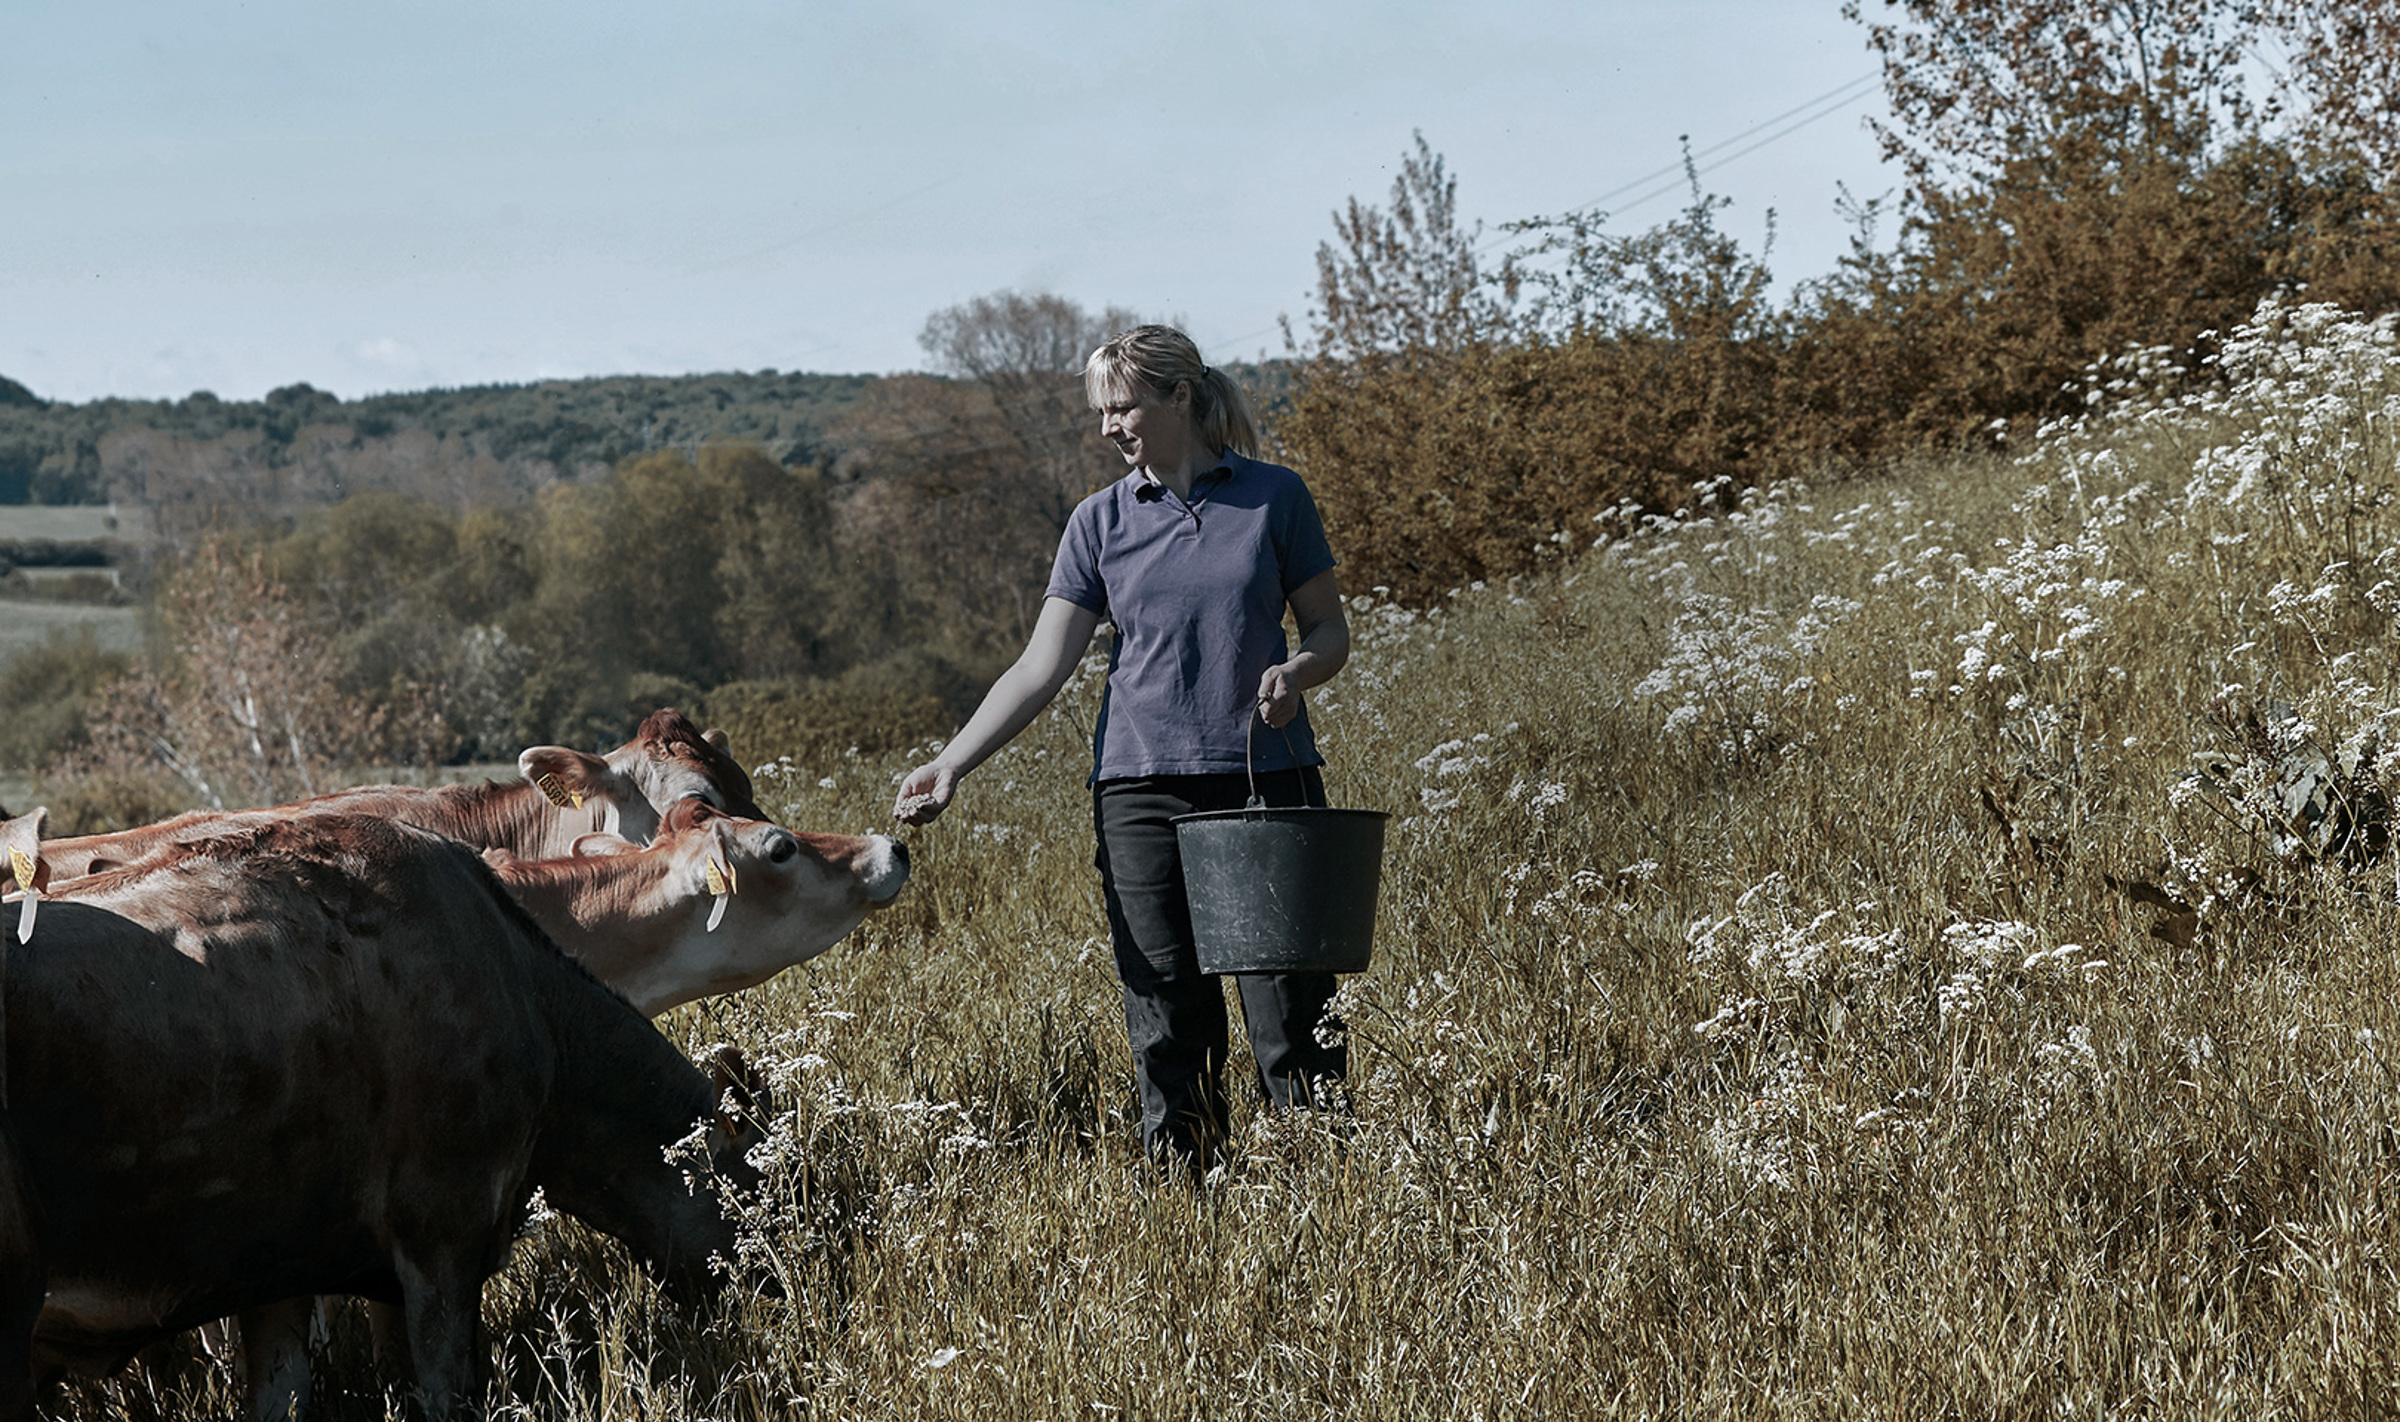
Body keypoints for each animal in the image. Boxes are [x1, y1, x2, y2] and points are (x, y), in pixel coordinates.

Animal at [0, 811, 768, 1422]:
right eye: (754, 1192)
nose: (772, 1289)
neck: (535, 1004)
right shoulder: (443, 1231)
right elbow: (443, 1388)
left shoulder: (277, 1263)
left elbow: (282, 1395)